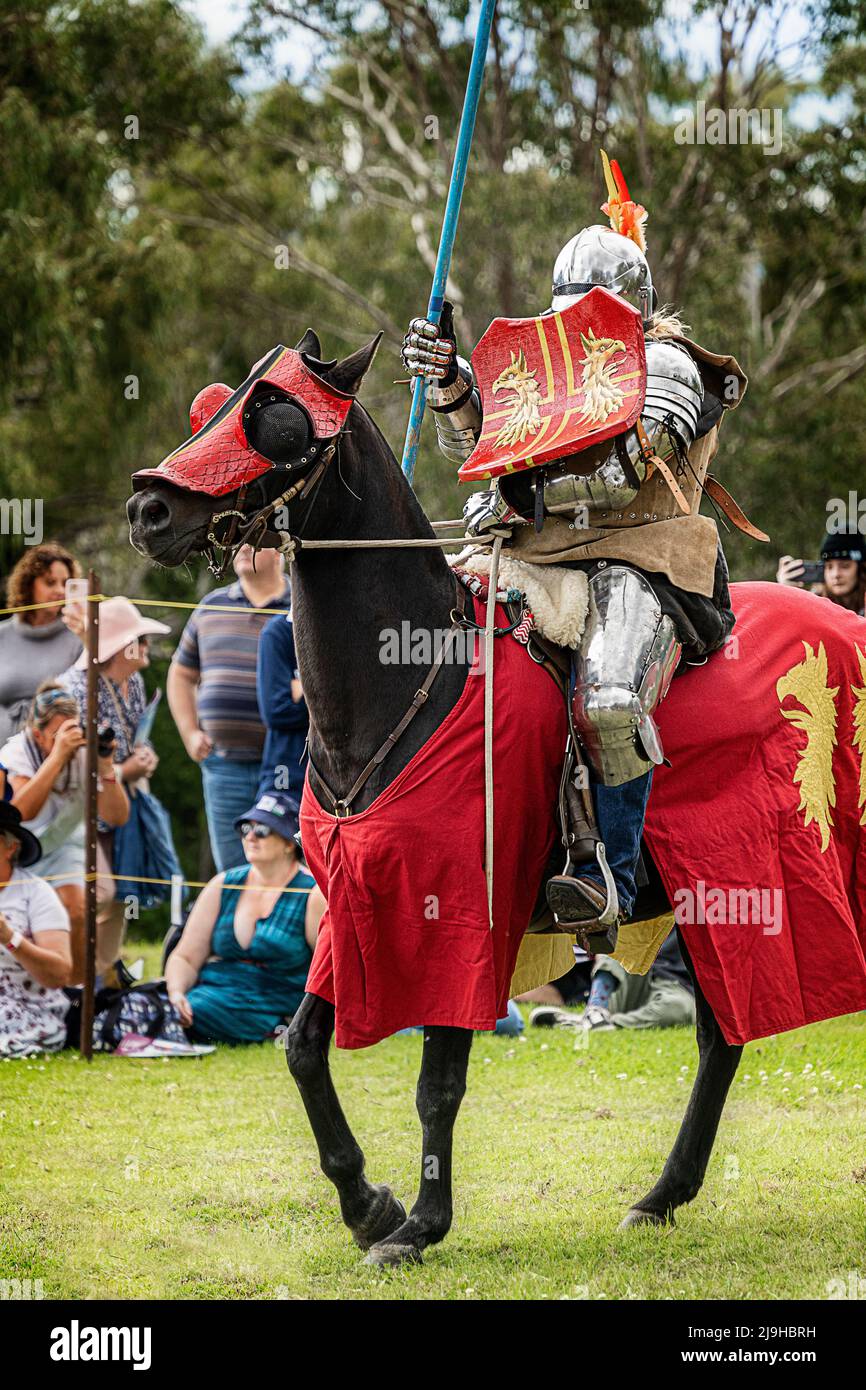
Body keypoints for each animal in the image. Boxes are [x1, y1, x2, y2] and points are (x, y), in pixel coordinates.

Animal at [128, 330, 745, 1267]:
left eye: (273, 414)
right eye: (213, 405)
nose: (150, 510)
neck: (415, 675)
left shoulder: (457, 915)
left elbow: (438, 1083)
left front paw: (418, 1223)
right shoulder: (351, 912)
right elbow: (302, 1047)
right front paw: (366, 1202)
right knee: (721, 1036)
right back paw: (662, 1196)